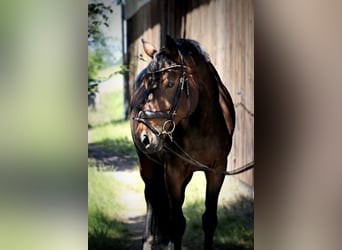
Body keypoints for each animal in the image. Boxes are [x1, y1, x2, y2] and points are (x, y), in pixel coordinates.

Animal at [130, 35, 235, 250]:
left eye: (170, 83)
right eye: (146, 83)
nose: (143, 135)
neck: (204, 127)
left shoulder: (217, 170)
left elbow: (209, 219)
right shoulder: (173, 171)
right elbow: (178, 223)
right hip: (147, 164)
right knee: (152, 197)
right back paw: (148, 240)